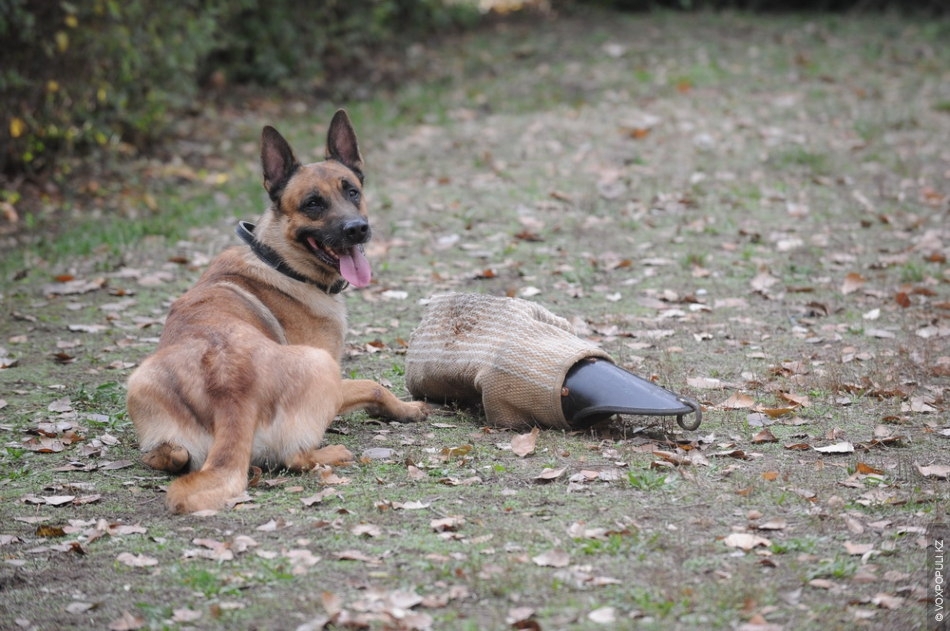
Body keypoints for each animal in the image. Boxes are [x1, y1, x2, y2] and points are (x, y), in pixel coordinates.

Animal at [125, 110, 428, 512]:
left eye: (352, 191)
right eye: (312, 203)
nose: (357, 229)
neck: (281, 261)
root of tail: (231, 394)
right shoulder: (335, 373)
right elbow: (376, 387)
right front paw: (406, 409)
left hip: (139, 381)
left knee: (174, 455)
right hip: (321, 367)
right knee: (293, 458)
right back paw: (333, 453)